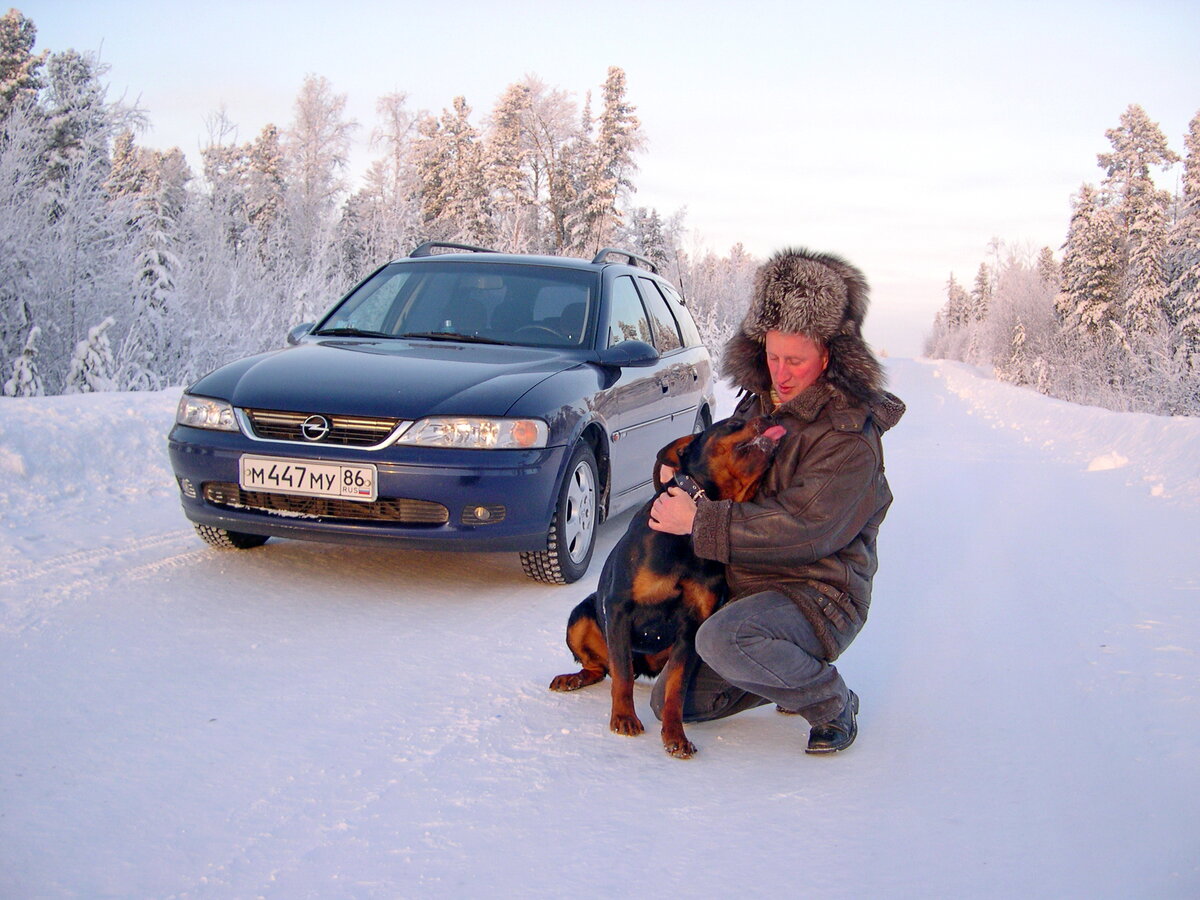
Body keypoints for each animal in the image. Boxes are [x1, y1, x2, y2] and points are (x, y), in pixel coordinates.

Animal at [547, 420, 787, 758]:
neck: (689, 531)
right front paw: (624, 718)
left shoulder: (691, 627)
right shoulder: (620, 607)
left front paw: (675, 736)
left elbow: (674, 689)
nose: (771, 415)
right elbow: (622, 675)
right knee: (604, 667)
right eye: (733, 423)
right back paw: (573, 678)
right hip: (580, 616)